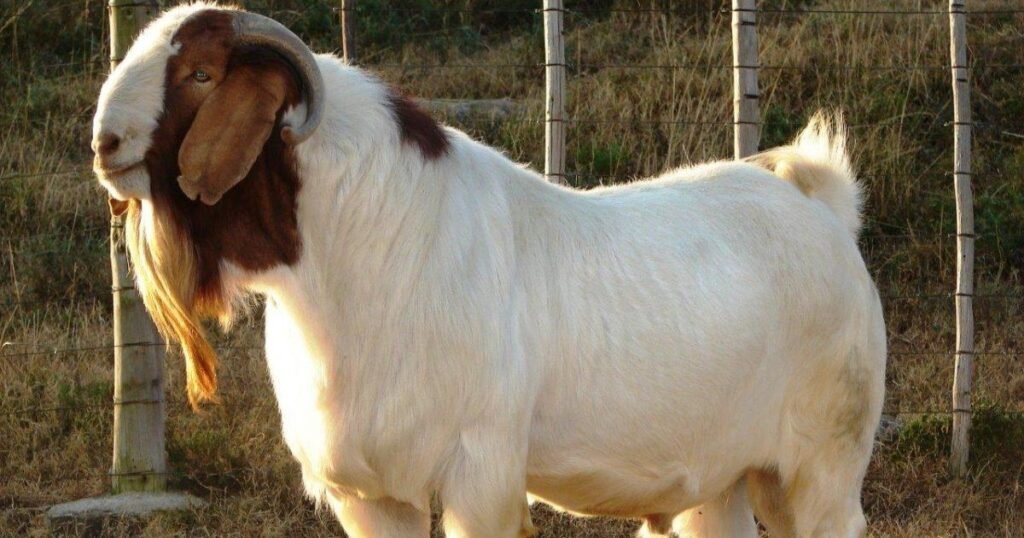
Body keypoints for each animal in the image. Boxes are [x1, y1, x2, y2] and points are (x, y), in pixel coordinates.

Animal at [92, 3, 886, 537]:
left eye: (200, 73)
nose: (104, 143)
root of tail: (820, 201)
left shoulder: (481, 476)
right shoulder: (371, 494)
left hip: (823, 464)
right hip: (720, 483)